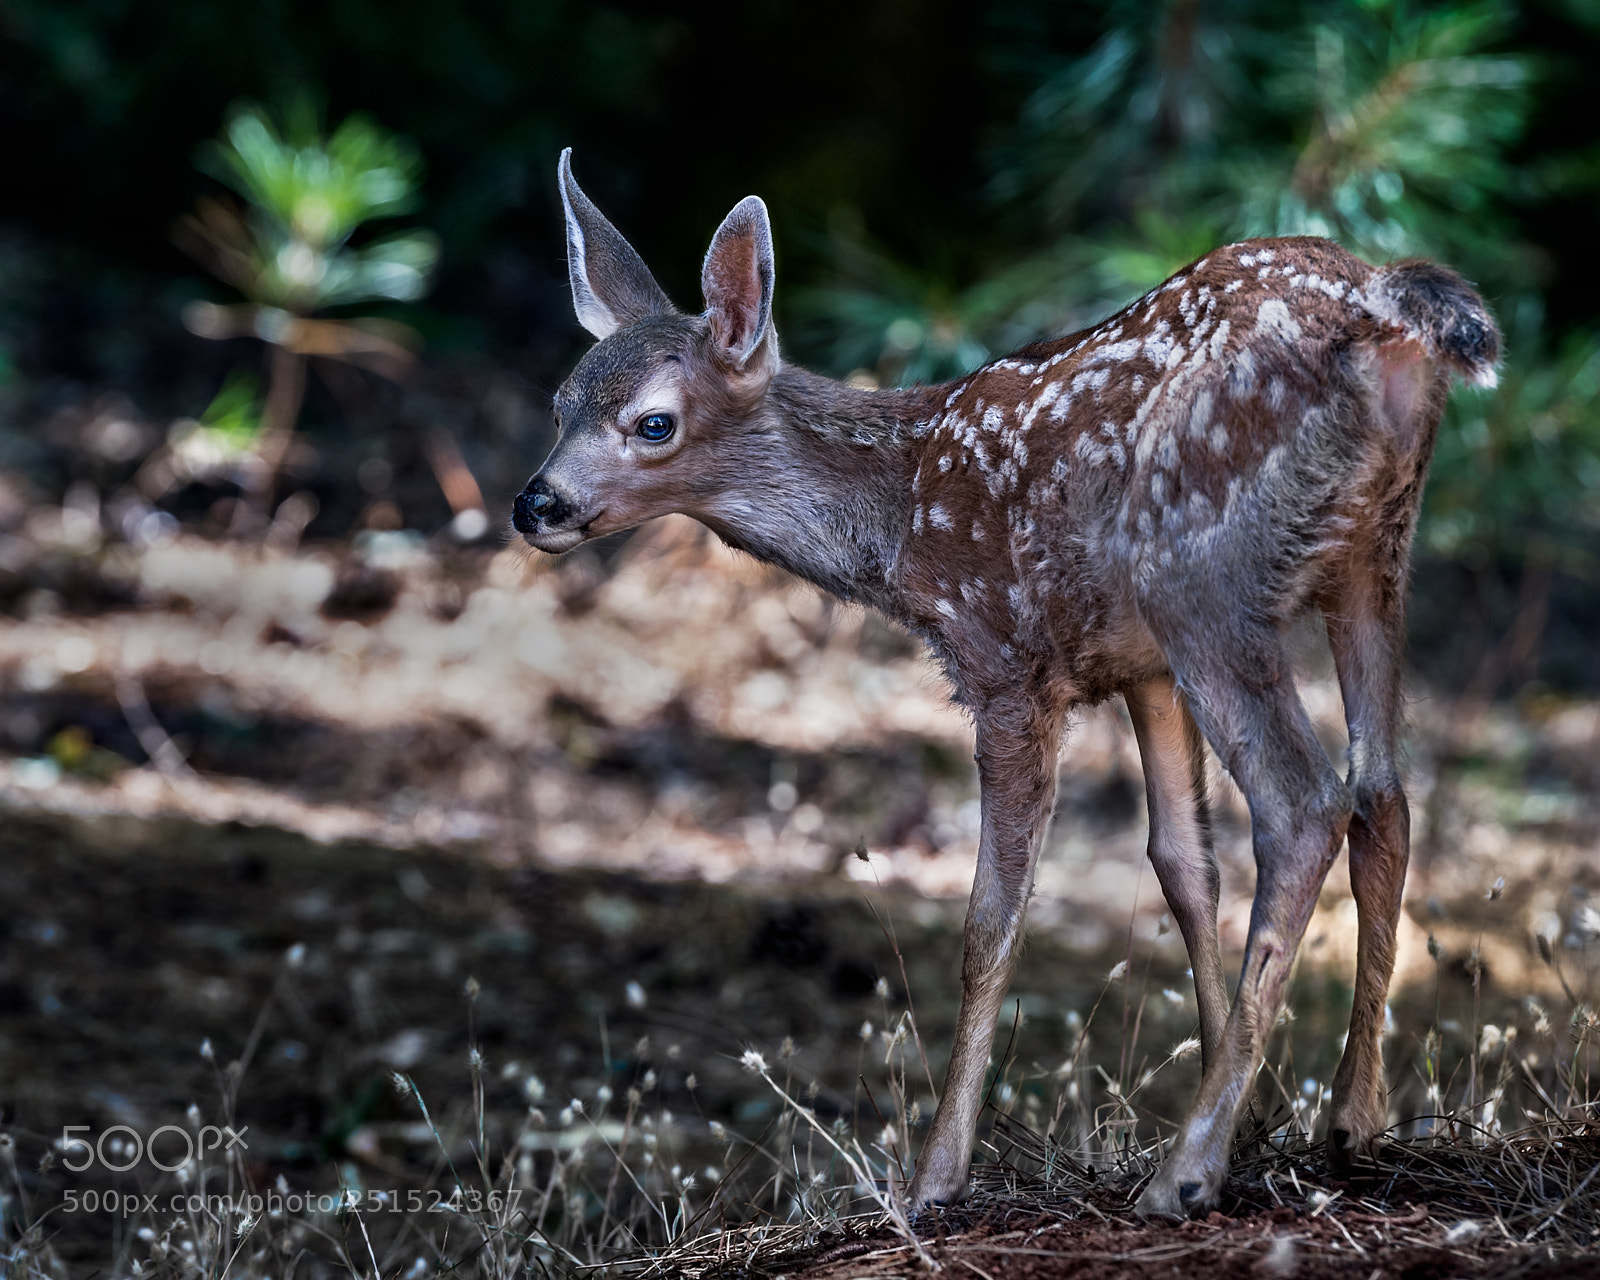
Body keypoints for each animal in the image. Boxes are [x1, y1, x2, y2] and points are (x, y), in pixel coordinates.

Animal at [513, 149, 1500, 1217]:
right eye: (561, 403)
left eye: (653, 423)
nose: (536, 504)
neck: (900, 517)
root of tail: (1376, 303)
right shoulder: (1141, 667)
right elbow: (1183, 867)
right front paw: (1251, 1115)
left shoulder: (1004, 662)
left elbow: (991, 921)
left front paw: (936, 1177)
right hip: (1374, 557)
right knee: (1383, 796)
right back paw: (1349, 1121)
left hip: (1198, 572)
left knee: (1306, 804)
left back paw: (1181, 1176)